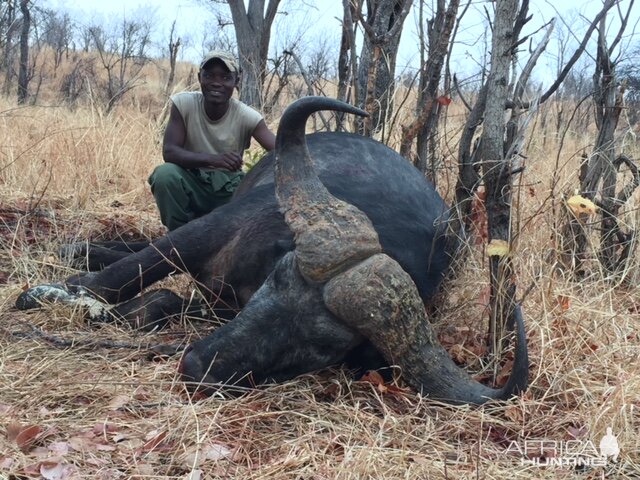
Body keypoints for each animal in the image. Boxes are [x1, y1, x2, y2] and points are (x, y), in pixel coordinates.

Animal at [16, 95, 528, 404]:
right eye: (279, 277)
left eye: (323, 346)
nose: (197, 364)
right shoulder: (216, 228)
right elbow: (140, 267)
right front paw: (59, 295)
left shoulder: (217, 304)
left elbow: (161, 299)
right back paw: (78, 250)